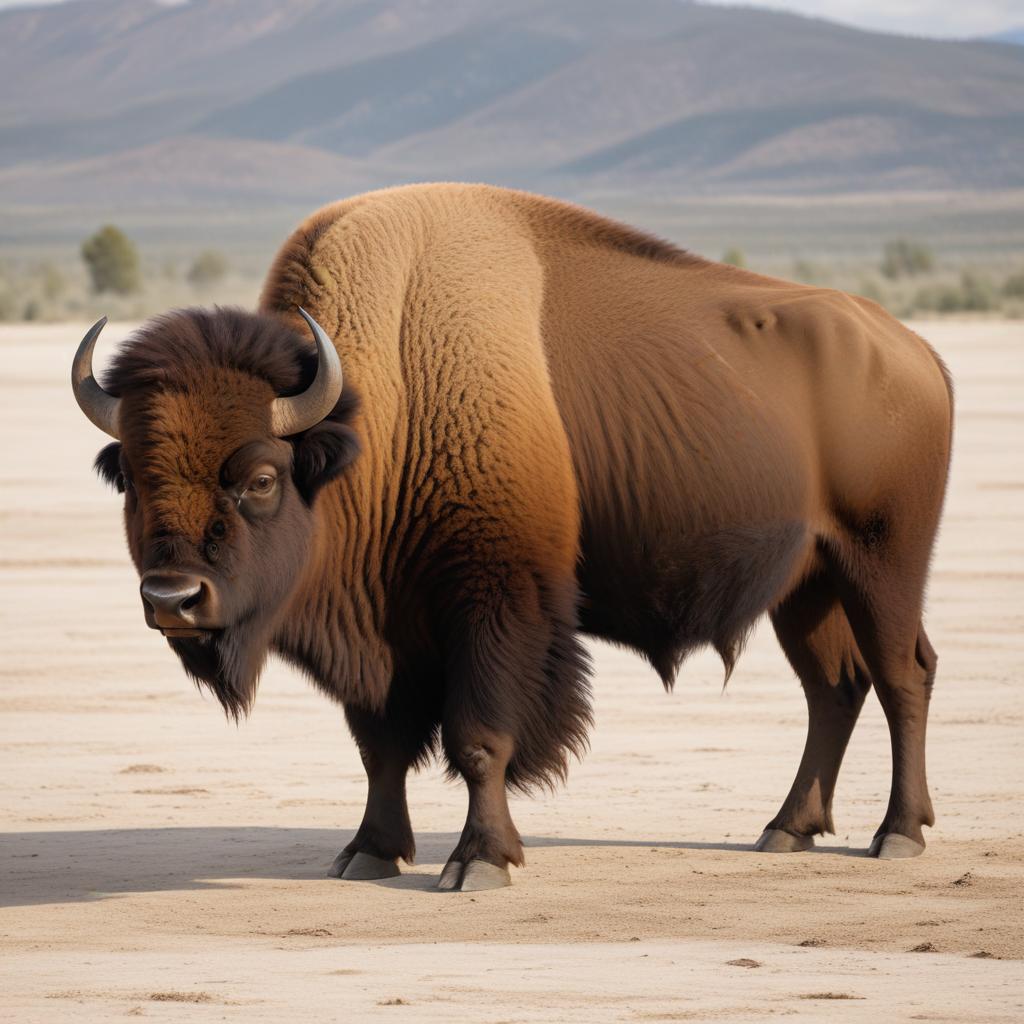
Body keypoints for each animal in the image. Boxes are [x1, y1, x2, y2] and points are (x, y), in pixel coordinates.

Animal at [71, 184, 952, 889]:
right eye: (134, 479)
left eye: (260, 478)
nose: (174, 598)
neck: (383, 405)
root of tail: (915, 352)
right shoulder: (383, 632)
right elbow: (379, 744)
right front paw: (368, 852)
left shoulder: (496, 606)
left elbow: (478, 739)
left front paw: (480, 862)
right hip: (806, 584)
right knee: (833, 687)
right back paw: (786, 831)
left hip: (881, 561)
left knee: (901, 673)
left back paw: (897, 835)